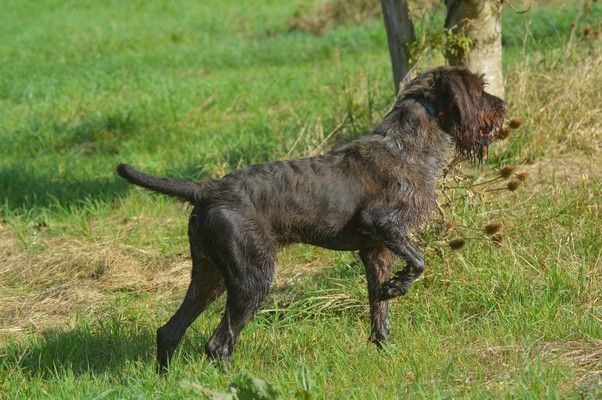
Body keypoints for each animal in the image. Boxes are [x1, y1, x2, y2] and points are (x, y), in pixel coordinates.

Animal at [115, 65, 504, 372]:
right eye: (479, 89)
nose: (502, 106)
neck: (409, 146)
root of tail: (208, 190)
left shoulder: (377, 251)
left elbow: (380, 312)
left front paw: (386, 350)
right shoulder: (382, 224)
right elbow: (419, 262)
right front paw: (395, 288)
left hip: (211, 276)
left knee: (170, 331)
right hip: (252, 277)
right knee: (218, 343)